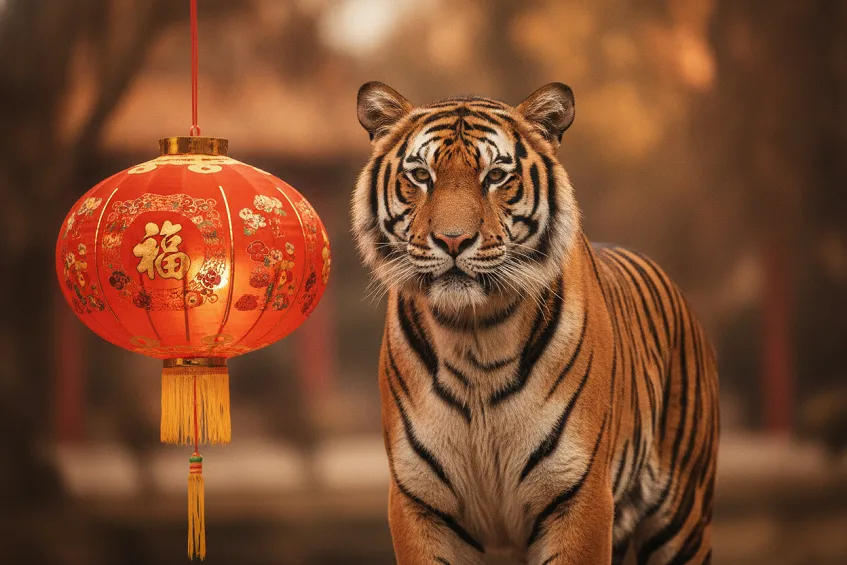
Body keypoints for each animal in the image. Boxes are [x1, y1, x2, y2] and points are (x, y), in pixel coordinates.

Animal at [351, 81, 719, 565]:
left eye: (495, 176)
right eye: (420, 176)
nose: (453, 240)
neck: (474, 335)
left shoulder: (577, 496)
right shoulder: (420, 502)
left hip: (682, 518)